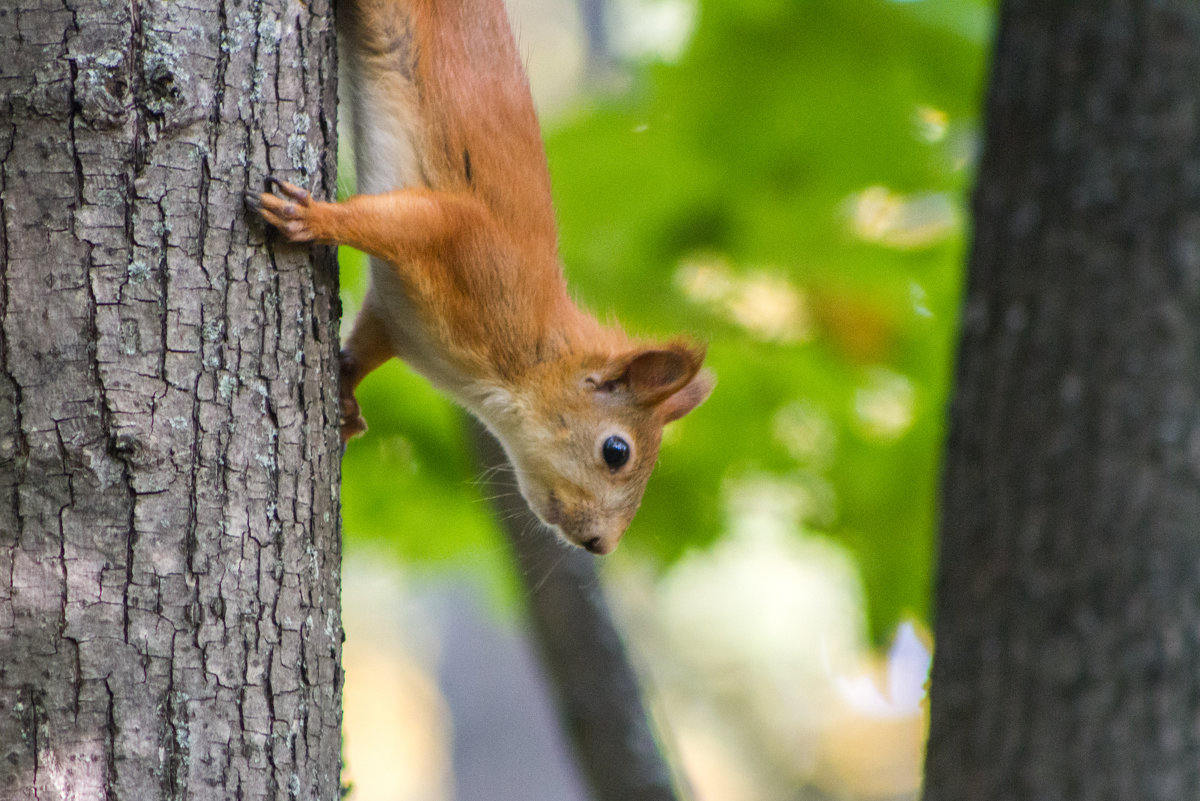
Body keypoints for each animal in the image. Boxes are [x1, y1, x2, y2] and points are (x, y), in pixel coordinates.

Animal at [244, 0, 710, 553]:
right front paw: (313, 219)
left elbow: (370, 339)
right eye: (616, 451)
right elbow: (397, 223)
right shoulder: (469, 243)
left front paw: (347, 394)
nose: (603, 545)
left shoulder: (399, 316)